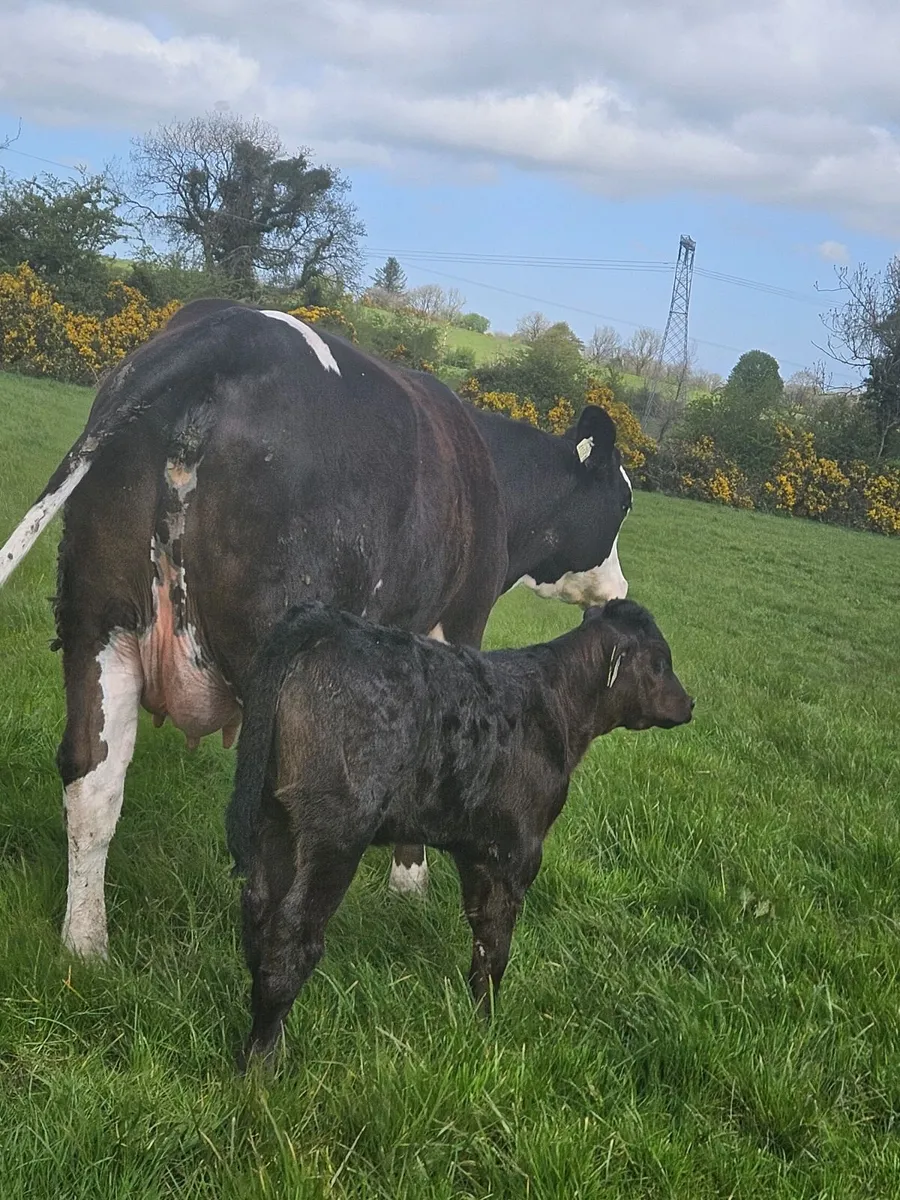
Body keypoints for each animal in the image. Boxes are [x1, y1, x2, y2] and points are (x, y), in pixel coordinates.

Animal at [0, 302, 633, 960]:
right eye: (622, 504)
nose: (618, 592)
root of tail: (228, 330)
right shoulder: (458, 623)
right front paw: (410, 883)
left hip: (97, 623)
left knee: (91, 776)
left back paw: (86, 944)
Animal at [226, 597, 694, 1066]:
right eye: (660, 661)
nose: (689, 702)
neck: (557, 704)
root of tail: (324, 621)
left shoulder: (477, 850)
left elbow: (481, 933)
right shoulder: (517, 851)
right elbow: (497, 942)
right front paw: (487, 1026)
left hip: (274, 817)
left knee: (259, 909)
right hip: (336, 834)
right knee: (294, 933)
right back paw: (262, 1063)